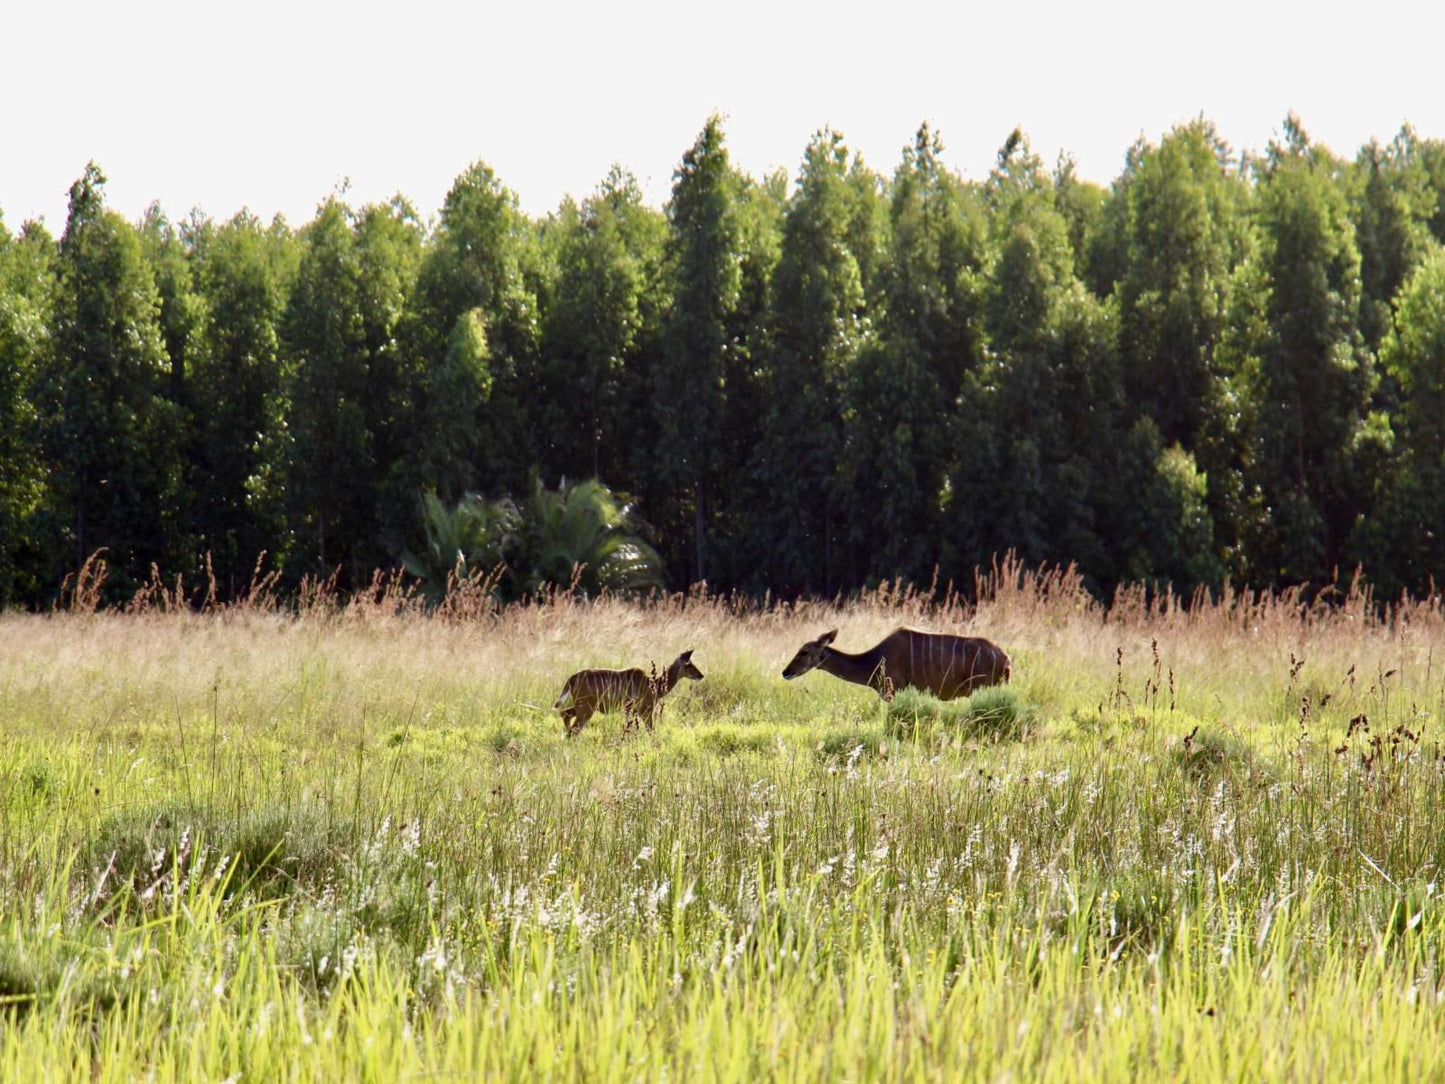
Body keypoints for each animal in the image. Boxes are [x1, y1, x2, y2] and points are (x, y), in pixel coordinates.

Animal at [549, 653, 702, 740]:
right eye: (689, 665)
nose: (701, 675)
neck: (655, 685)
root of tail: (572, 678)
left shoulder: (633, 711)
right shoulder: (645, 709)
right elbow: (651, 731)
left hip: (583, 705)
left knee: (565, 715)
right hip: (586, 707)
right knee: (573, 729)